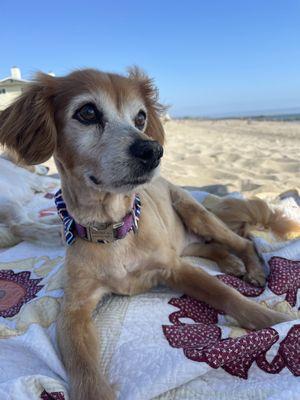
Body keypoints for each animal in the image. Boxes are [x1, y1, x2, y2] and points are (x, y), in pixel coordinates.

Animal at [0, 69, 298, 400]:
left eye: (140, 117)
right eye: (87, 112)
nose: (153, 151)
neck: (112, 230)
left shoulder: (175, 269)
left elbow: (227, 295)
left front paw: (277, 322)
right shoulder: (73, 309)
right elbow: (84, 368)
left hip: (196, 214)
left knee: (243, 241)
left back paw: (254, 269)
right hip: (187, 243)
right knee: (211, 248)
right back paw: (232, 264)